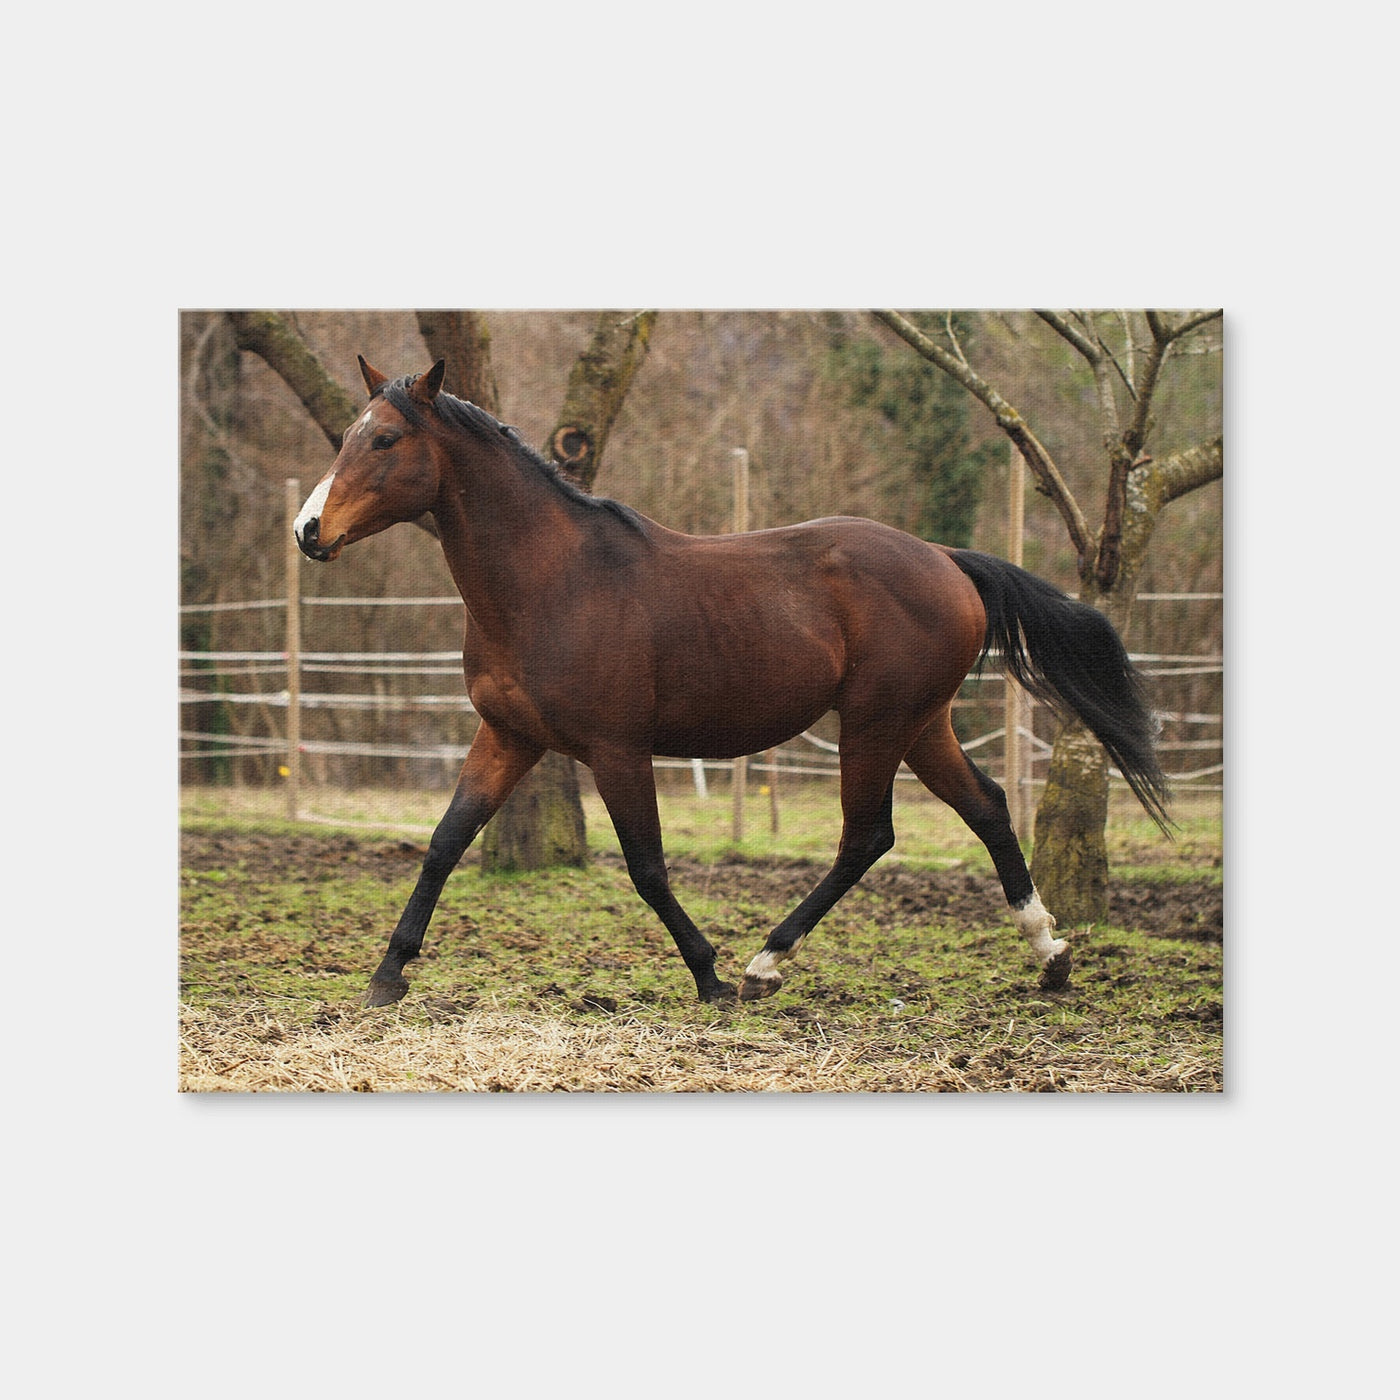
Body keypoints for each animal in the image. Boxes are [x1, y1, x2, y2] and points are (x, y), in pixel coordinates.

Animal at [294, 357, 1169, 1007]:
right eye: (352, 436)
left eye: (385, 439)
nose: (307, 531)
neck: (550, 581)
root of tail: (946, 560)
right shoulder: (507, 736)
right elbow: (445, 842)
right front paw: (387, 975)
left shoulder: (617, 749)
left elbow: (647, 867)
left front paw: (708, 973)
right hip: (922, 724)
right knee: (984, 808)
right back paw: (1050, 954)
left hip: (876, 723)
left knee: (867, 836)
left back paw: (763, 965)